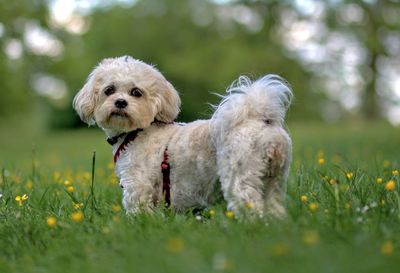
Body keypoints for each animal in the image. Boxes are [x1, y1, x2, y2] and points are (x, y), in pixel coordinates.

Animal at [73, 56, 292, 218]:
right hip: (274, 179)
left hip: (240, 175)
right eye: (109, 90)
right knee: (274, 204)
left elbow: (138, 211)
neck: (138, 132)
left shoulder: (137, 185)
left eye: (136, 92)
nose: (120, 102)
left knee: (249, 204)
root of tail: (262, 120)